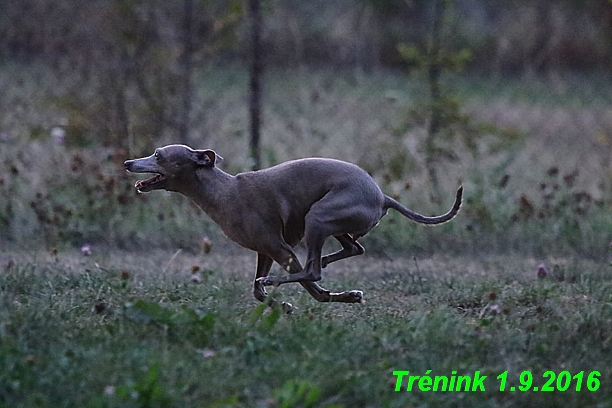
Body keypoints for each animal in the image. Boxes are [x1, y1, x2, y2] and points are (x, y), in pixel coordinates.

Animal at [124, 145, 462, 310]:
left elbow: (309, 288)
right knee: (353, 247)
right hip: (331, 223)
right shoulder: (265, 250)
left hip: (319, 216)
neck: (224, 191)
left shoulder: (280, 248)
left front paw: (286, 298)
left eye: (158, 154)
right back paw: (326, 265)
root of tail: (382, 196)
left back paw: (287, 277)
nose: (127, 162)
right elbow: (257, 289)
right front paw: (285, 305)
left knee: (312, 271)